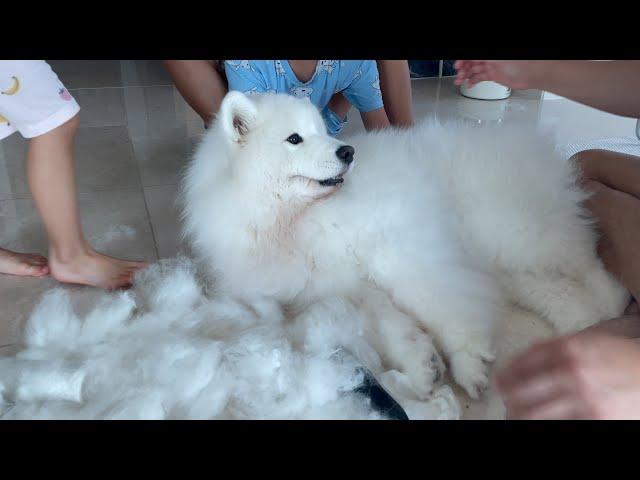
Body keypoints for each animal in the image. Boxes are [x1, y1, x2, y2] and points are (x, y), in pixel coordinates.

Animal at [179, 92, 624, 400]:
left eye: (323, 131)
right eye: (294, 139)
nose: (348, 151)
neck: (295, 221)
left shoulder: (400, 251)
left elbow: (442, 306)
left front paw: (467, 363)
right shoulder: (341, 288)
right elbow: (388, 323)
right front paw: (423, 365)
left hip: (514, 233)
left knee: (584, 258)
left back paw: (611, 300)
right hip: (507, 263)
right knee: (556, 290)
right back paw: (587, 323)